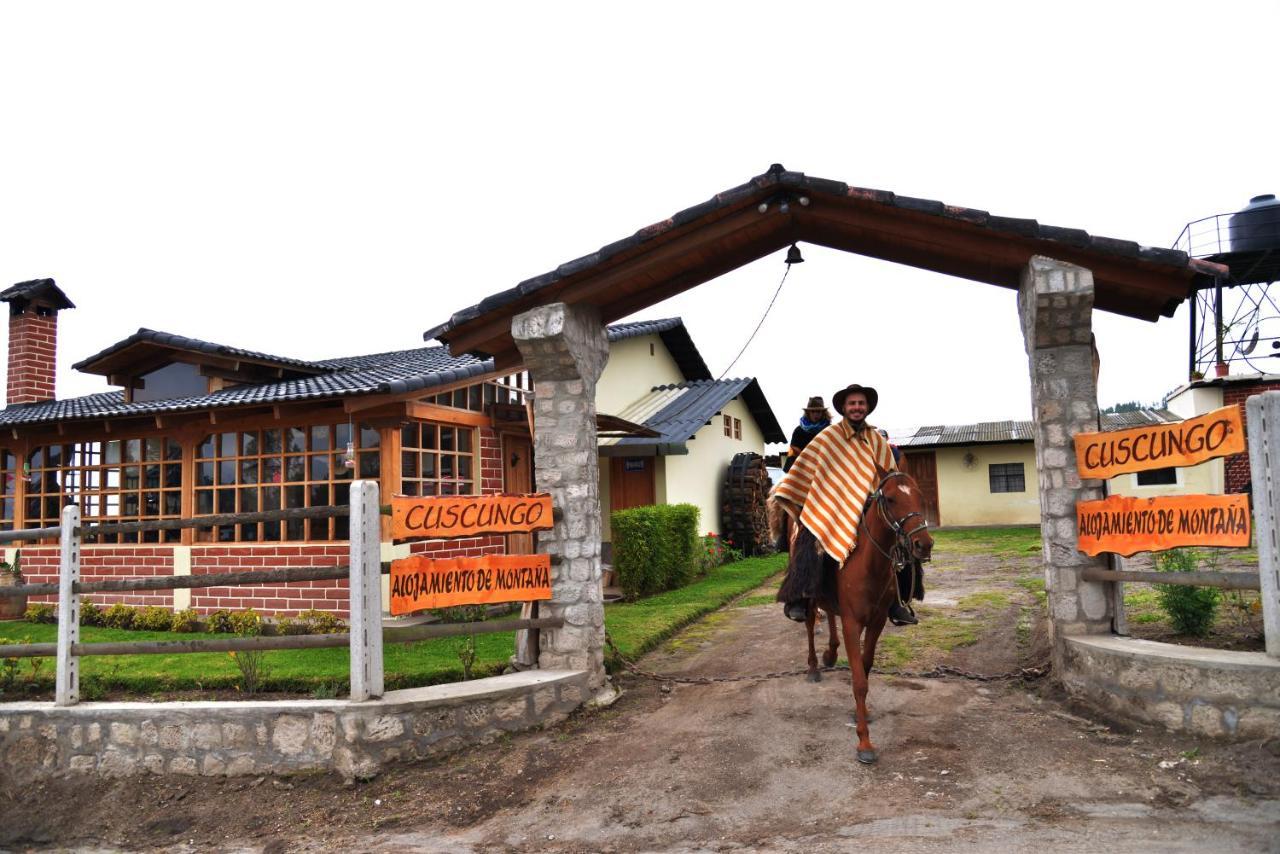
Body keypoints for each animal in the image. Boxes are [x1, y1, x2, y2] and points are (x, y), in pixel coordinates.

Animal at [788, 468, 931, 768]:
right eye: (891, 498)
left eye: (919, 496)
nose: (923, 544)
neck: (869, 565)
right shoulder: (852, 624)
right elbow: (859, 681)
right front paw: (864, 743)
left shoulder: (876, 622)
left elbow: (864, 668)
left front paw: (860, 714)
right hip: (810, 599)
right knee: (810, 625)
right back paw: (814, 667)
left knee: (830, 615)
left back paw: (830, 654)